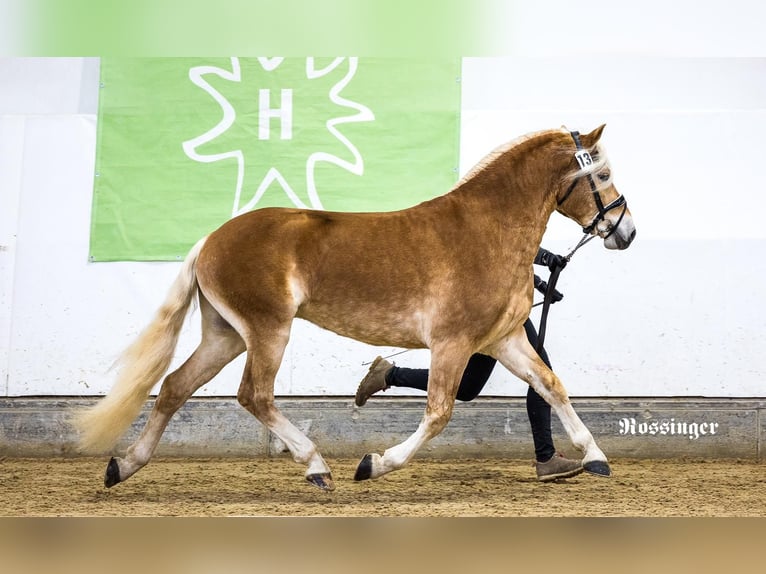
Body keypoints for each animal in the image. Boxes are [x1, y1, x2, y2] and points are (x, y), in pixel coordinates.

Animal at [73, 125, 636, 490]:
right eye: (604, 173)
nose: (625, 232)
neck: (486, 230)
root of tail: (210, 239)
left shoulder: (504, 339)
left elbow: (551, 386)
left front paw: (596, 457)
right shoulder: (452, 344)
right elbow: (438, 413)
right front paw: (373, 464)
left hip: (226, 335)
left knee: (174, 387)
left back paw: (124, 466)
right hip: (268, 330)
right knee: (254, 394)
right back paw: (316, 466)